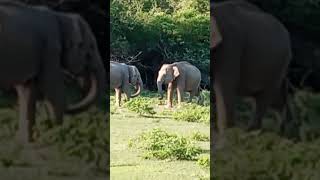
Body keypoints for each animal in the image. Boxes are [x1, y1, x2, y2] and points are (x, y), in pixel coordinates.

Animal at [0, 1, 106, 144]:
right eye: (90, 48)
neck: (61, 17)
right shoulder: (50, 49)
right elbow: (52, 90)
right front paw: (56, 135)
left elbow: (27, 90)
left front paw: (25, 143)